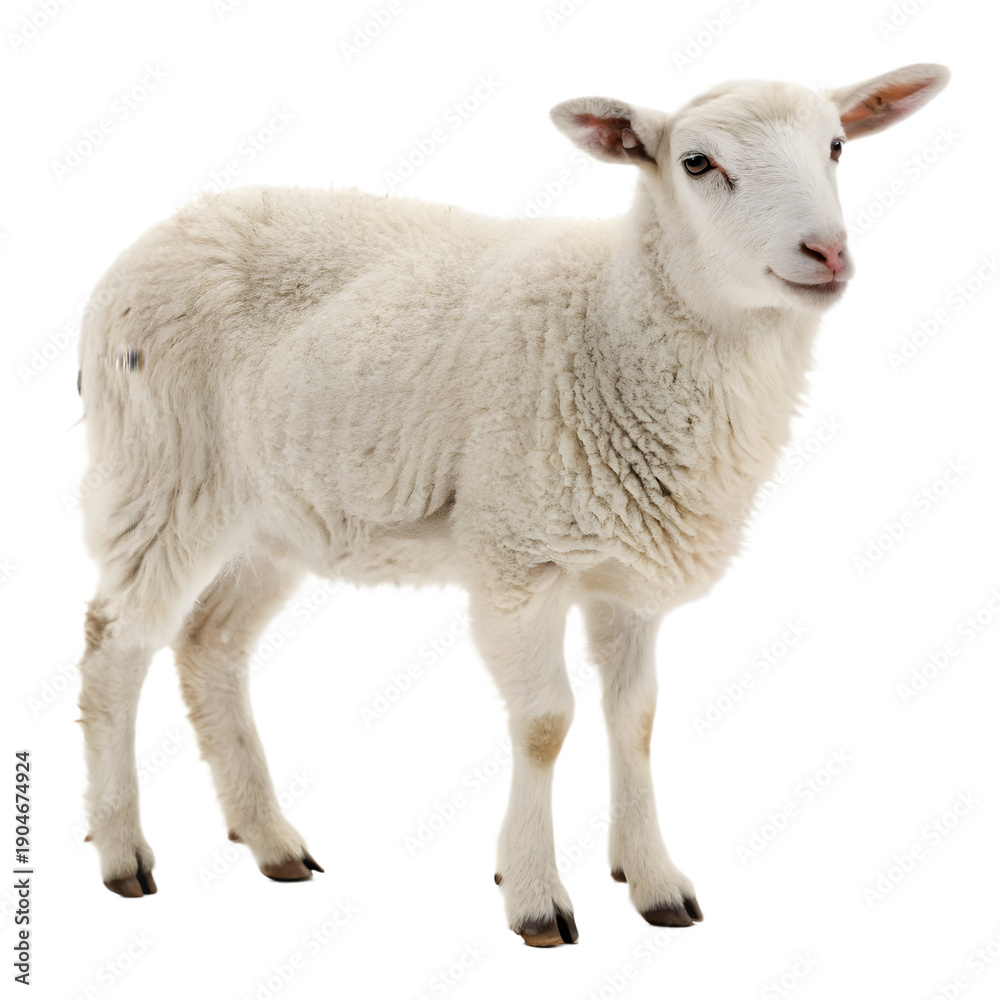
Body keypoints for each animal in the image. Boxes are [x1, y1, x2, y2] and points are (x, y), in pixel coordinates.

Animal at [76, 62, 949, 947]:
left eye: (835, 146)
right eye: (697, 162)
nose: (827, 251)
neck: (610, 321)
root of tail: (157, 235)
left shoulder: (628, 578)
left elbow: (635, 720)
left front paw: (652, 880)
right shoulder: (515, 557)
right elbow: (544, 724)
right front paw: (533, 894)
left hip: (275, 516)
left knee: (209, 645)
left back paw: (270, 840)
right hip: (163, 475)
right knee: (114, 645)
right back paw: (121, 853)